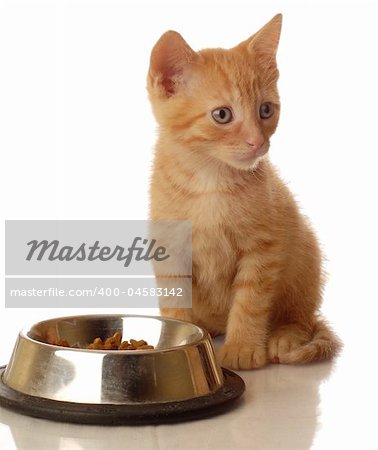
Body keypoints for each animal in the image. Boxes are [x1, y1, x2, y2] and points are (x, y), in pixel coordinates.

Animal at [148, 15, 342, 370]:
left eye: (266, 110)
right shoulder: (170, 249)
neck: (209, 181)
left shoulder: (264, 248)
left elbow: (250, 301)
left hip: (305, 255)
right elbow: (175, 304)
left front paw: (242, 347)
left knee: (302, 317)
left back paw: (283, 336)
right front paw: (172, 342)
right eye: (222, 114)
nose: (258, 142)